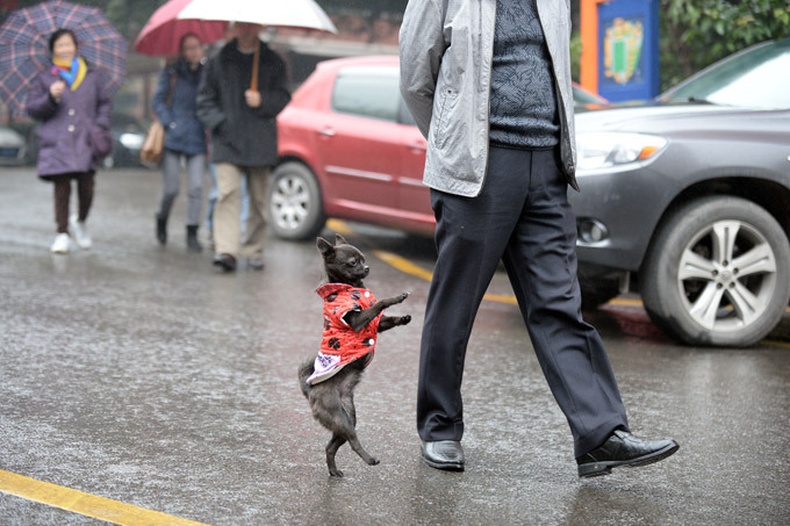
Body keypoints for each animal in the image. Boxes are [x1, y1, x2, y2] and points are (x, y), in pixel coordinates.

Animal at [298, 235, 414, 478]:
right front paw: (396, 297)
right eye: (353, 263)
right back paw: (370, 459)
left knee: (331, 445)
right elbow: (379, 304)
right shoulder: (358, 320)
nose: (367, 267)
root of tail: (309, 391)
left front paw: (403, 318)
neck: (350, 288)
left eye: (364, 259)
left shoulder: (376, 325)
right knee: (352, 440)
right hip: (339, 418)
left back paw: (334, 470)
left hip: (347, 417)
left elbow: (385, 319)